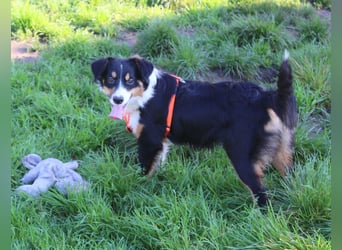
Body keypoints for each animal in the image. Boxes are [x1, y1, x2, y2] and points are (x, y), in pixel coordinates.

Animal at [91, 51, 296, 206]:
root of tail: (266, 96)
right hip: (282, 153)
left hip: (242, 155)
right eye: (111, 79)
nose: (117, 100)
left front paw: (136, 189)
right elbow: (158, 166)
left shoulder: (149, 141)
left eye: (130, 80)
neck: (146, 94)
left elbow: (143, 171)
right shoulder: (161, 143)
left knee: (260, 194)